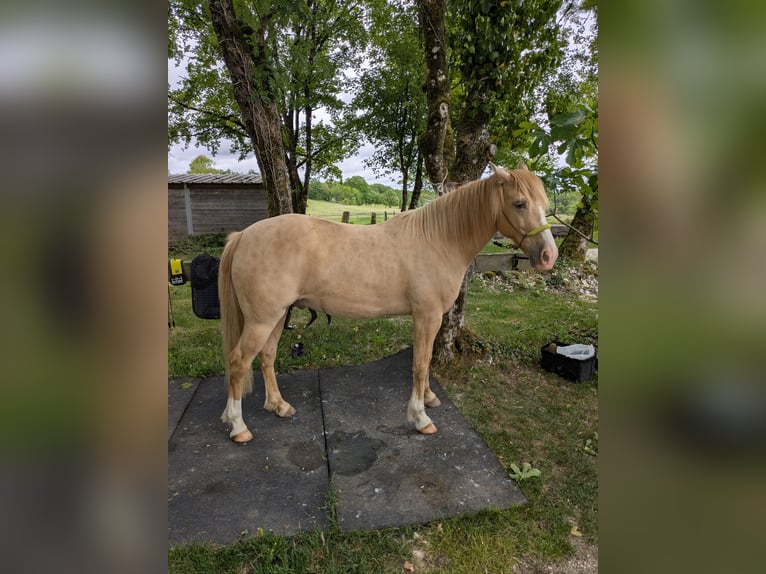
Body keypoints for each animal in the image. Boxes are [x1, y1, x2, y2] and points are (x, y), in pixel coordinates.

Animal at [218, 164, 558, 444]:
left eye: (545, 205)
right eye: (519, 203)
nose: (548, 256)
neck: (439, 239)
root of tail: (243, 235)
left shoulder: (431, 318)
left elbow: (426, 362)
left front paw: (429, 398)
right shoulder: (427, 316)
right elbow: (420, 363)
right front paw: (420, 417)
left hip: (276, 317)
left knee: (267, 356)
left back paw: (279, 405)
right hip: (262, 320)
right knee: (238, 362)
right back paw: (239, 427)